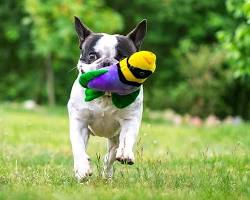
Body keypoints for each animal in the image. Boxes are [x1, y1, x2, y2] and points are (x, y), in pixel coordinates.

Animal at [67, 16, 147, 181]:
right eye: (92, 56)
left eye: (123, 57)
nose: (107, 62)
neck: (105, 95)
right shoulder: (79, 122)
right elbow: (78, 147)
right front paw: (82, 169)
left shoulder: (130, 120)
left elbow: (128, 138)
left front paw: (126, 154)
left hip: (114, 139)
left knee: (110, 156)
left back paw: (107, 174)